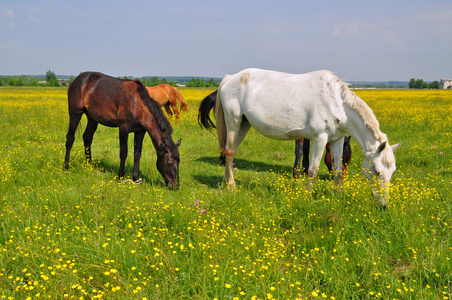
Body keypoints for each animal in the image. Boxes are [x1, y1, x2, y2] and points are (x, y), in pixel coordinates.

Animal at [198, 69, 400, 207]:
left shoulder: (337, 140)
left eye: (392, 171)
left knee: (229, 151)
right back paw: (232, 185)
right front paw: (308, 197)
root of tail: (230, 78)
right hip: (234, 123)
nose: (383, 205)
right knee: (229, 153)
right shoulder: (320, 138)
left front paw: (337, 196)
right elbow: (312, 170)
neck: (336, 103)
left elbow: (336, 170)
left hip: (243, 125)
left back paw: (226, 181)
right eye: (377, 171)